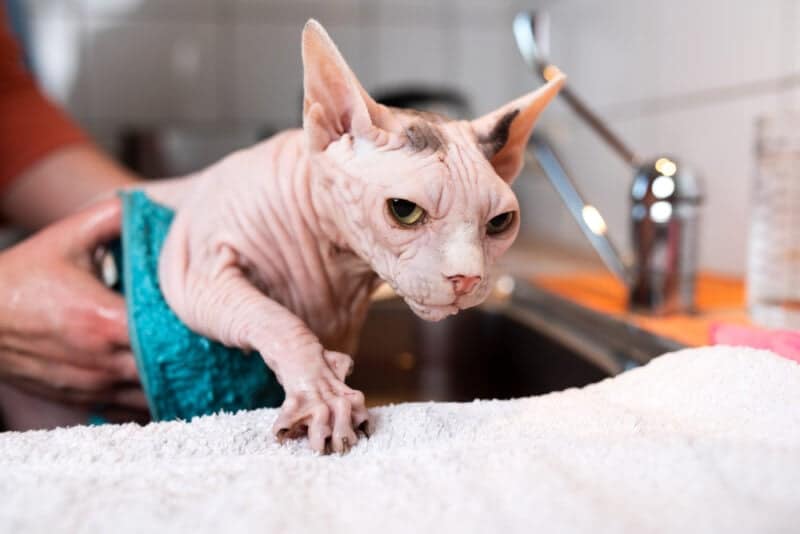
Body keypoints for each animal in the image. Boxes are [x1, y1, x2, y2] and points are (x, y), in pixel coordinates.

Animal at [145, 22, 564, 456]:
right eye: (403, 209)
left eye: (500, 222)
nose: (467, 279)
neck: (335, 262)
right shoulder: (198, 263)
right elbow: (273, 317)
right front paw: (323, 394)